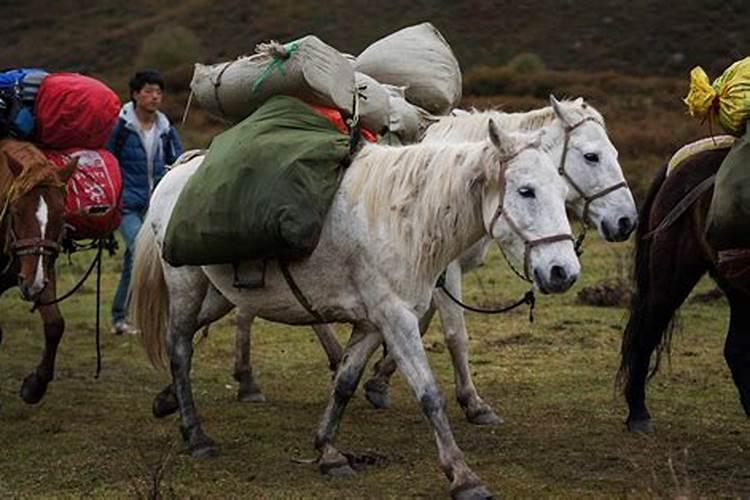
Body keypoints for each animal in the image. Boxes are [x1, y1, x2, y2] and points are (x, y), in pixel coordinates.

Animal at [0, 139, 77, 404]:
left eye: (61, 214)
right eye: (16, 210)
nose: (32, 285)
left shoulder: (42, 271)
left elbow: (55, 324)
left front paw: (35, 385)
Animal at [131, 119, 576, 498]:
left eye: (561, 191)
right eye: (526, 191)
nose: (564, 272)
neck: (405, 220)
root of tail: (175, 171)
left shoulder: (372, 323)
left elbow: (344, 382)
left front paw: (328, 451)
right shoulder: (396, 319)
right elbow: (429, 394)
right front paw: (463, 476)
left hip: (220, 294)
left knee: (186, 339)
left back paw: (168, 402)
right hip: (187, 286)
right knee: (179, 347)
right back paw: (197, 436)